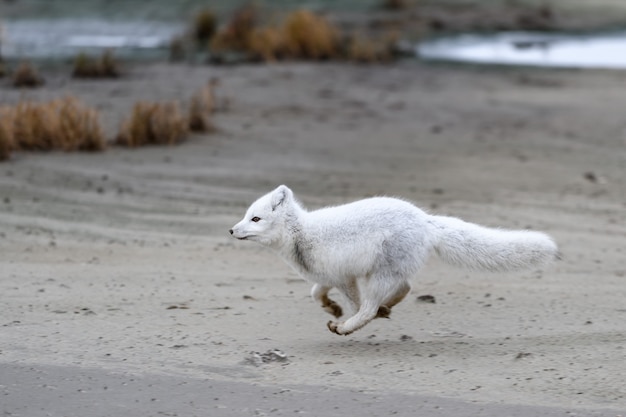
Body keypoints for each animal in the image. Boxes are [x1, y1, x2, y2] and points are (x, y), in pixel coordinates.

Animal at [228, 185, 556, 334]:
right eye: (246, 215)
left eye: (255, 219)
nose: (231, 229)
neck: (300, 234)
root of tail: (425, 219)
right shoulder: (333, 276)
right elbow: (315, 292)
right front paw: (331, 307)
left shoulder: (345, 278)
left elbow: (355, 304)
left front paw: (343, 316)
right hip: (389, 271)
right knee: (405, 288)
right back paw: (385, 309)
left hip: (380, 274)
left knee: (370, 306)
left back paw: (349, 327)